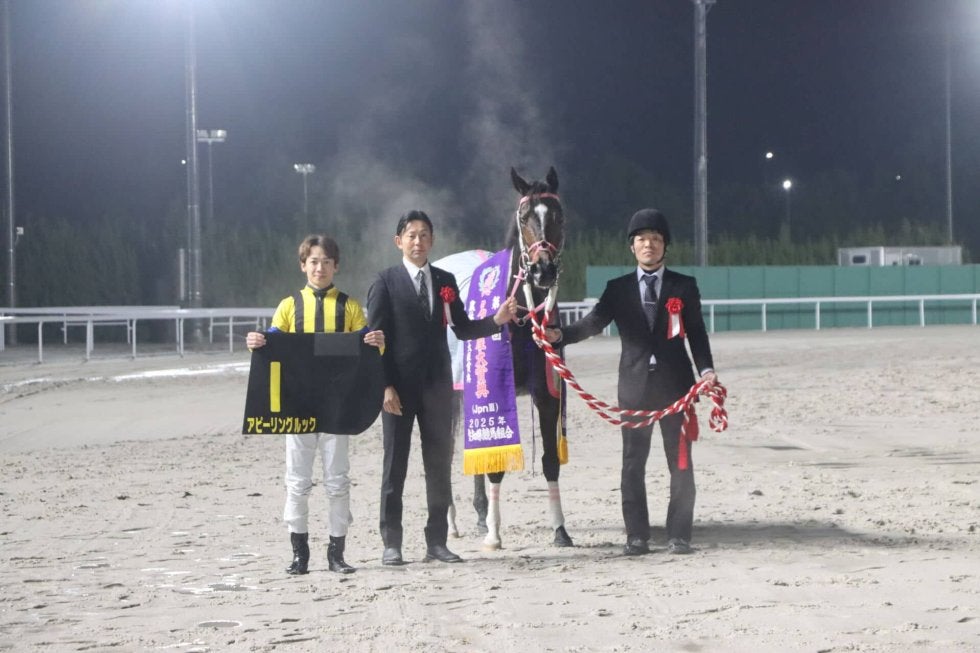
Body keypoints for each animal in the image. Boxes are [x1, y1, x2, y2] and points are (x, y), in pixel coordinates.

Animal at [444, 166, 572, 550]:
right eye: (525, 215)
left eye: (558, 215)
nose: (543, 271)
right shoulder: (496, 392)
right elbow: (496, 465)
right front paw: (494, 534)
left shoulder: (547, 392)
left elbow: (549, 461)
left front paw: (560, 530)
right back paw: (452, 522)